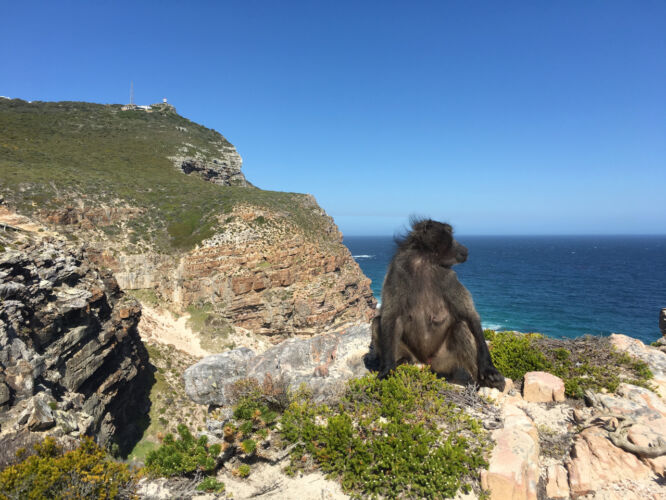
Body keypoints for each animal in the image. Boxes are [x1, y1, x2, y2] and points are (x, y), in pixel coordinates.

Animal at [371, 218, 505, 390]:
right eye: (450, 234)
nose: (465, 248)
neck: (424, 261)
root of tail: (424, 362)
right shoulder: (397, 271)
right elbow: (390, 315)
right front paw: (387, 370)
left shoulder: (449, 277)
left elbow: (470, 316)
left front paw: (489, 369)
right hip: (412, 355)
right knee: (377, 323)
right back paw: (400, 361)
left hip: (443, 362)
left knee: (461, 327)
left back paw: (484, 382)